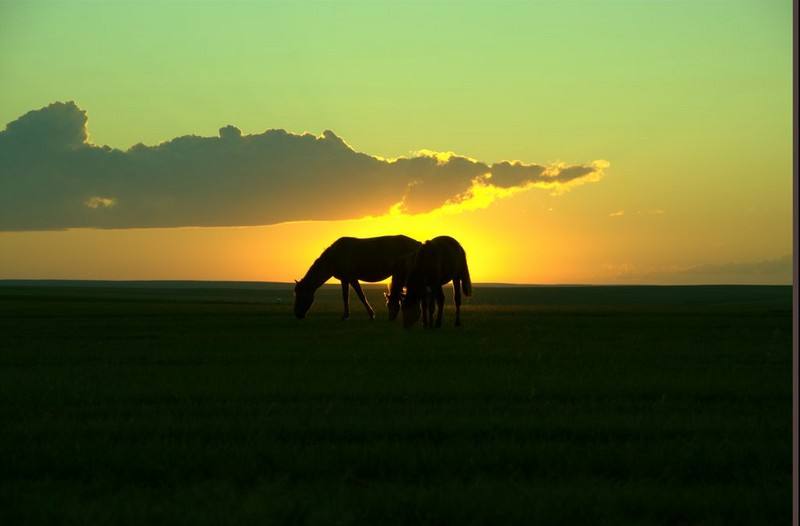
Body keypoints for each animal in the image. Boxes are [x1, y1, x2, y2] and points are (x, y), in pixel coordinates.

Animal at [292, 236, 422, 320]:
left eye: (300, 295)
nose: (297, 315)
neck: (334, 257)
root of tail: (418, 244)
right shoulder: (345, 279)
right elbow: (346, 297)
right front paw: (347, 315)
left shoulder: (351, 278)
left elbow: (360, 296)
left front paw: (370, 314)